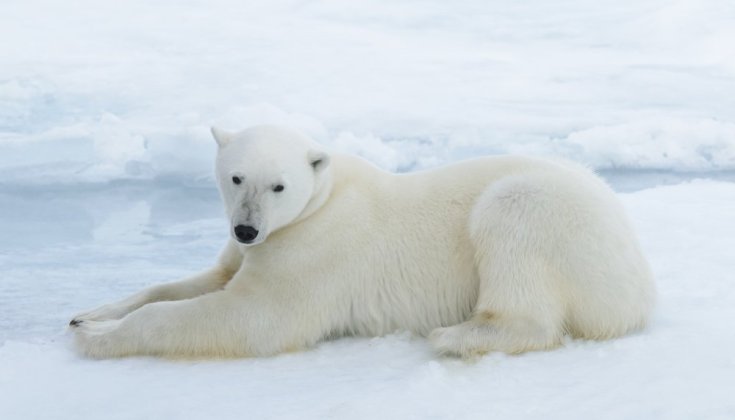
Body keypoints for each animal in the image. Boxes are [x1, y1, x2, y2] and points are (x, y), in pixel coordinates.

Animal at [70, 125, 655, 359]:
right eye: (236, 177)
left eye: (279, 185)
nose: (246, 228)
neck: (322, 198)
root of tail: (641, 285)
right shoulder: (248, 249)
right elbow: (203, 279)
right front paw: (89, 313)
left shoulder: (314, 251)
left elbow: (253, 318)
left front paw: (98, 337)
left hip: (550, 215)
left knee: (514, 236)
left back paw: (454, 335)